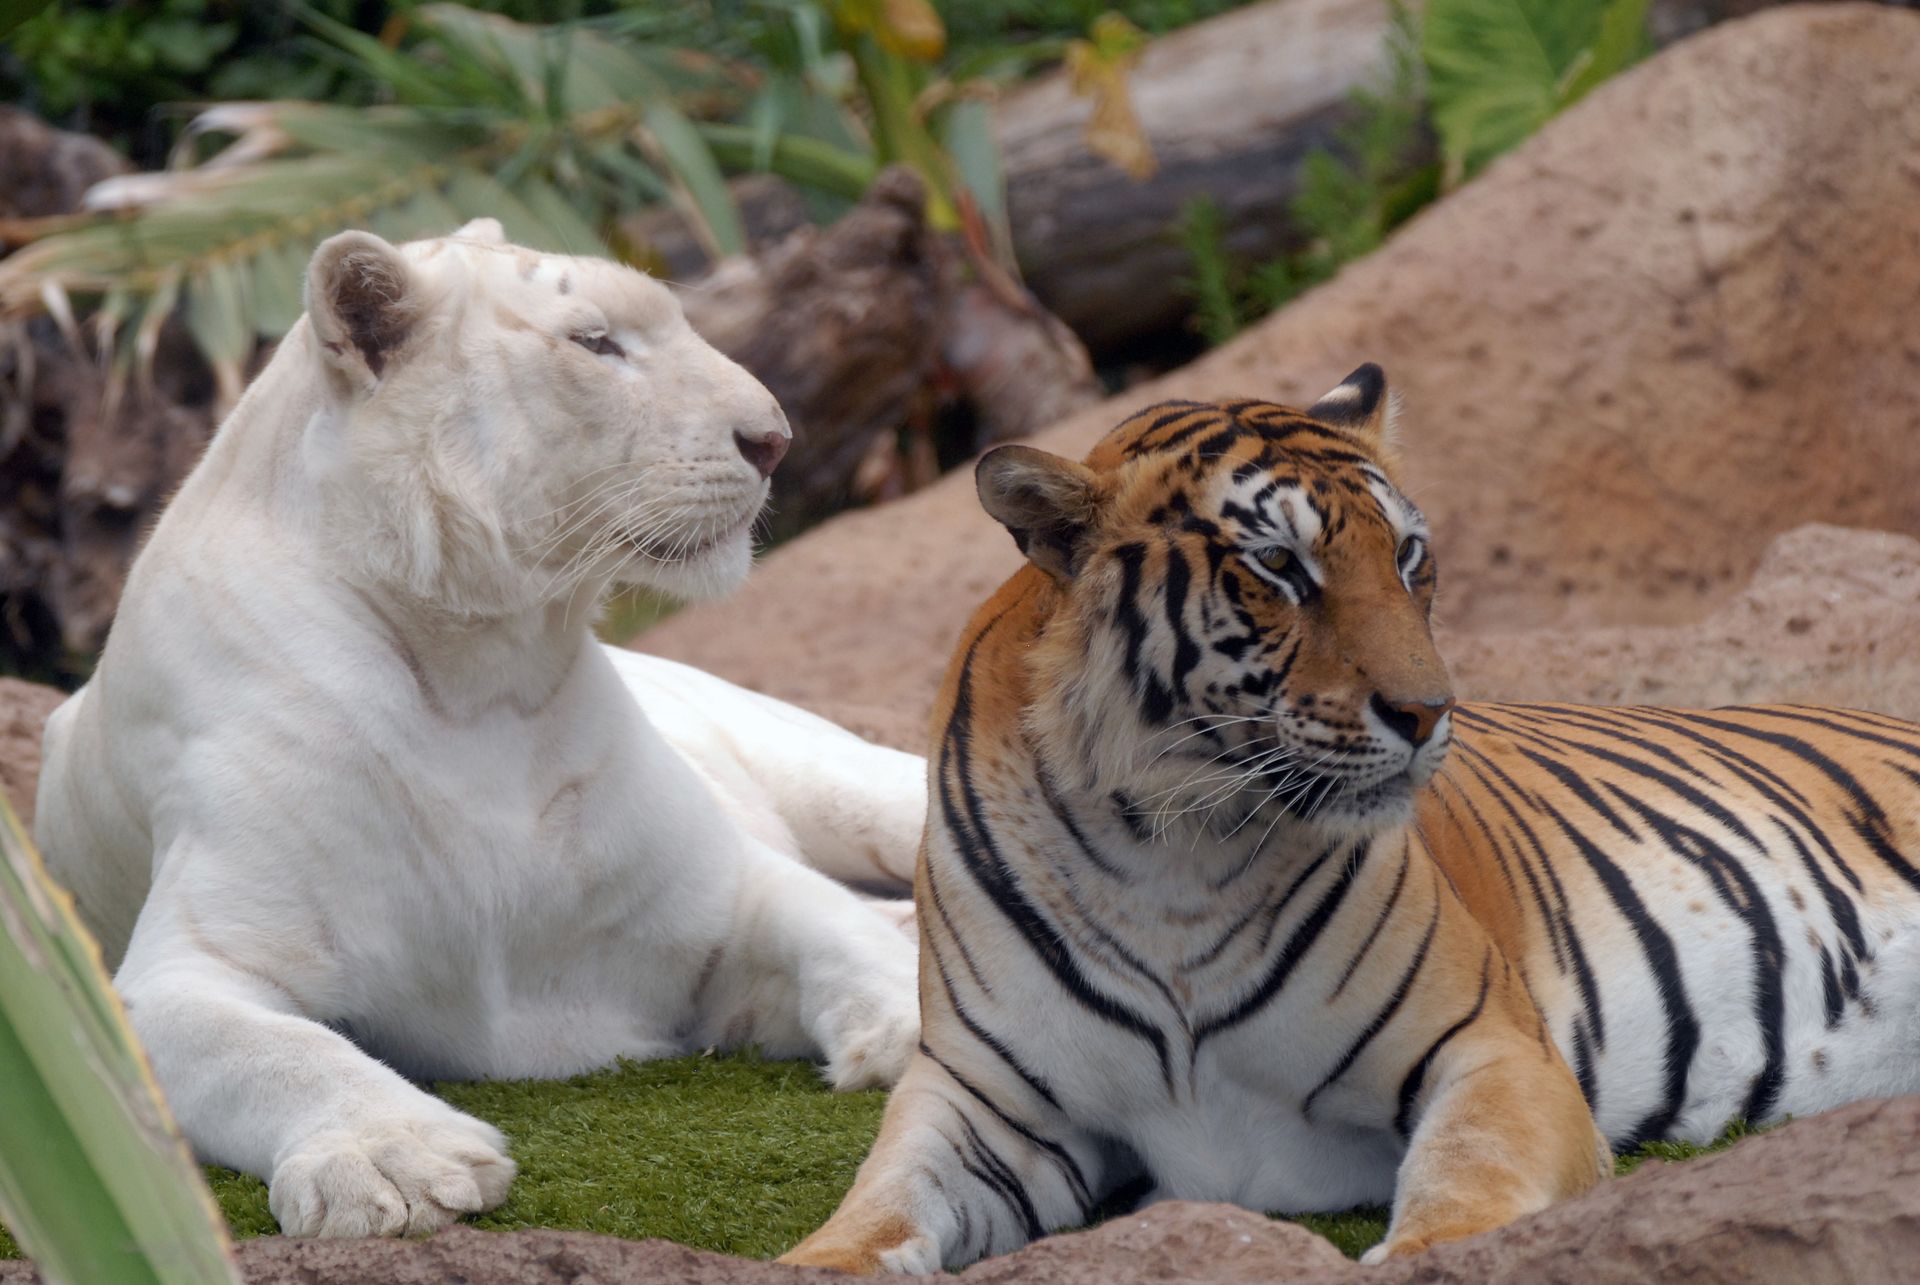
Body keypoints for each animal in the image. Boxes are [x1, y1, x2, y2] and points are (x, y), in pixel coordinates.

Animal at [780, 367, 1920, 1271]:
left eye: (1409, 556)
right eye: (1280, 566)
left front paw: (1425, 1250)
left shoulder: (1493, 1048)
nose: (1428, 711)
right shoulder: (988, 1101)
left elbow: (1464, 1178)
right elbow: (881, 1201)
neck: (1168, 849)